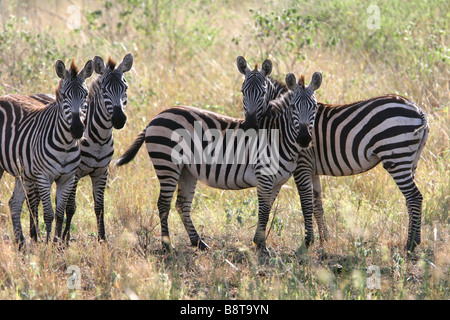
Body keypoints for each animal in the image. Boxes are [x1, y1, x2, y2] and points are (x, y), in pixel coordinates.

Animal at [0, 58, 93, 249]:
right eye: (64, 96)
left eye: (86, 95)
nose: (77, 129)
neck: (65, 145)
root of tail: (4, 96)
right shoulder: (44, 177)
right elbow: (48, 214)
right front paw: (48, 245)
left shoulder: (67, 178)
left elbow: (59, 213)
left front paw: (57, 244)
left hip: (22, 172)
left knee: (14, 203)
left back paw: (21, 244)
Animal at [28, 53, 132, 242]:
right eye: (104, 91)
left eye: (125, 88)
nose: (119, 119)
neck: (99, 139)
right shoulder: (74, 173)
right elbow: (71, 207)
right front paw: (65, 239)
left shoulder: (101, 172)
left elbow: (99, 207)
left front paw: (102, 239)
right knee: (33, 199)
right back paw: (34, 235)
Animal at [115, 57, 312, 252]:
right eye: (242, 91)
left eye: (263, 92)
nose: (249, 125)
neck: (278, 131)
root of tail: (155, 117)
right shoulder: (267, 176)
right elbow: (267, 210)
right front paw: (262, 247)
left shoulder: (278, 180)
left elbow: (268, 209)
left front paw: (260, 243)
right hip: (166, 163)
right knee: (163, 204)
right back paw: (168, 246)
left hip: (186, 170)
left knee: (182, 204)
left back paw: (198, 242)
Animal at [282, 73, 428, 252]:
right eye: (293, 107)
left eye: (314, 107)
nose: (304, 140)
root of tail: (418, 109)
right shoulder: (312, 169)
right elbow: (317, 205)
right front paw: (324, 240)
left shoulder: (301, 165)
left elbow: (306, 204)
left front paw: (308, 242)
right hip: (411, 160)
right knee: (409, 200)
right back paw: (412, 239)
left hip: (396, 156)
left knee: (414, 197)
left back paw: (412, 244)